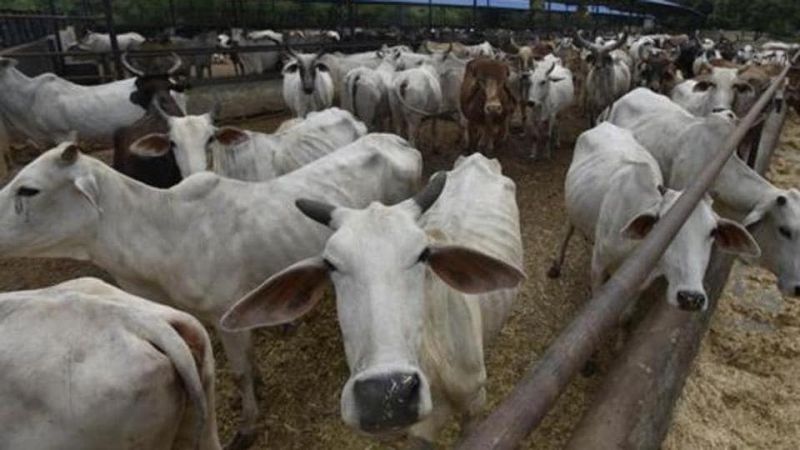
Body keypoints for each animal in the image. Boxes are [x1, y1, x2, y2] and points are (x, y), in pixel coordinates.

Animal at [221, 153, 524, 446]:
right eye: (330, 264)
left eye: (423, 254)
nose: (384, 396)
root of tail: (475, 158)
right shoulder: (420, 431)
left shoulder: (475, 404)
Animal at [551, 122, 759, 314]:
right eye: (663, 228)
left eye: (713, 231)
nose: (690, 298)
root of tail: (605, 124)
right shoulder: (598, 266)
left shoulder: (641, 283)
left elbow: (626, 315)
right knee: (568, 230)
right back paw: (556, 265)